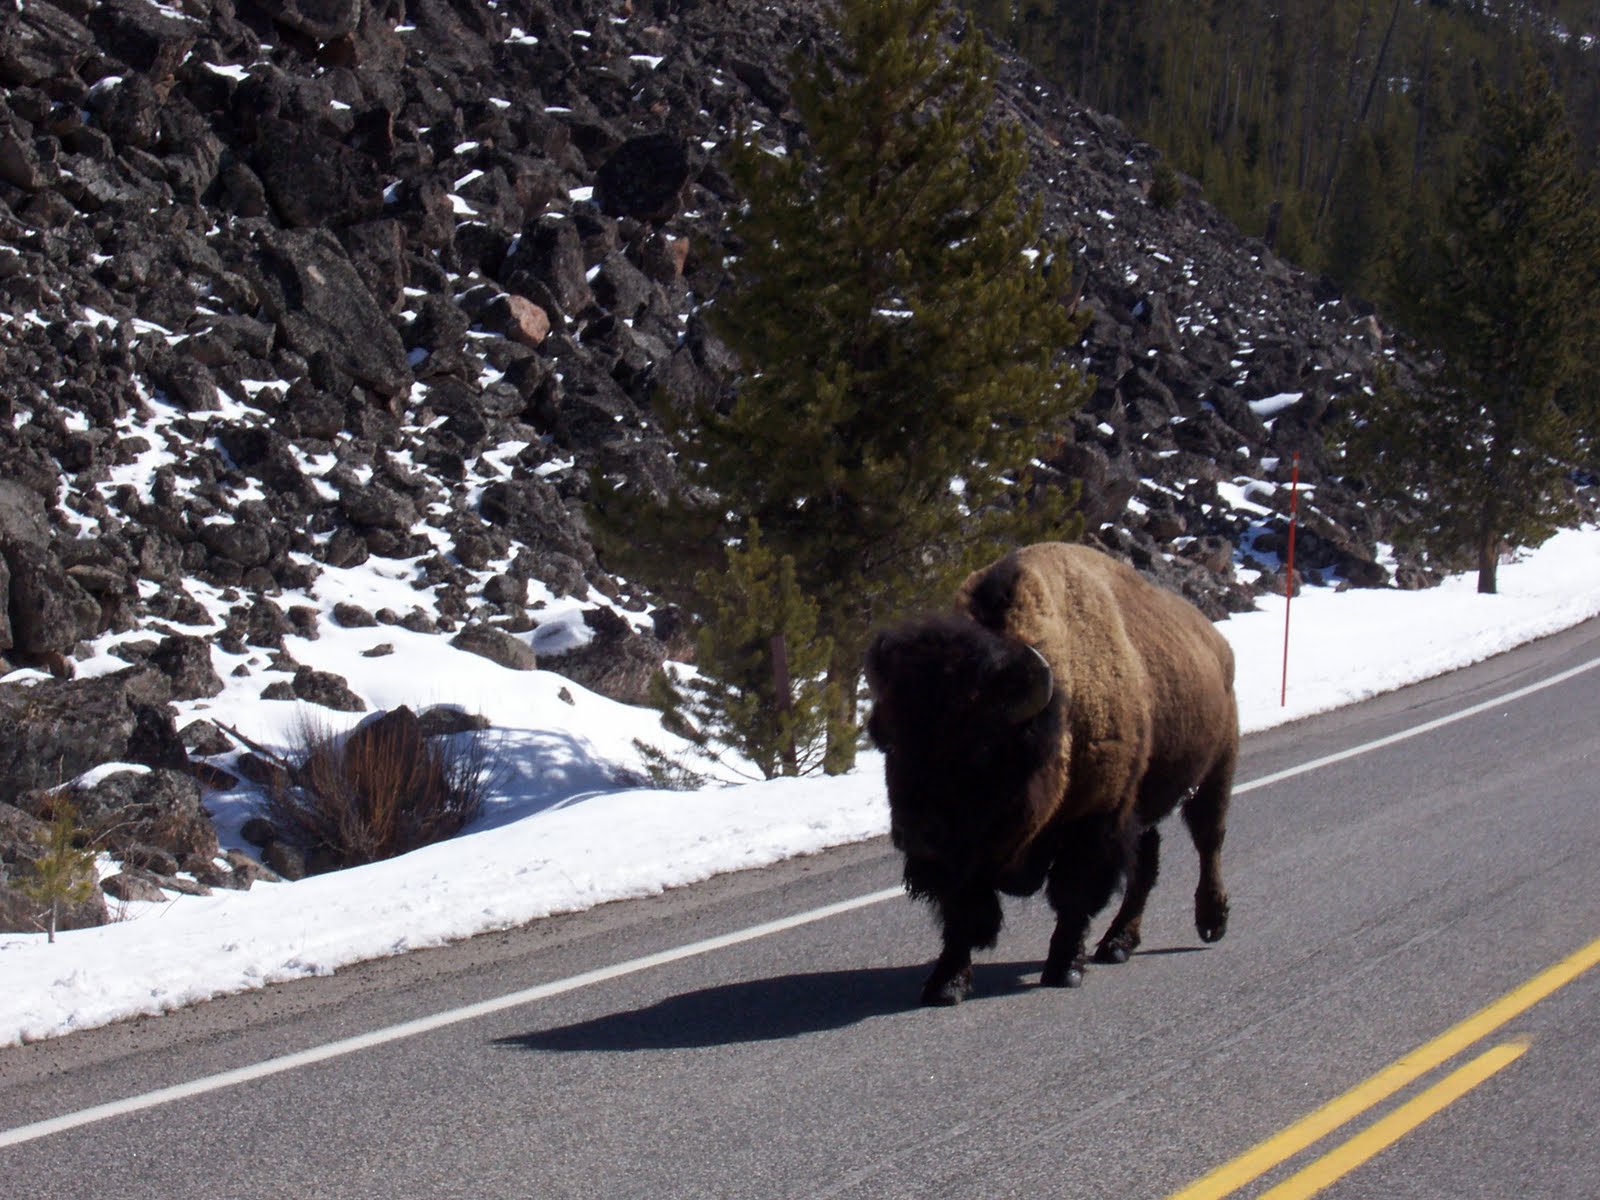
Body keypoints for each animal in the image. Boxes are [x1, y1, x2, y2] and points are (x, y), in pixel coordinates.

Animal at [870, 544, 1228, 1004]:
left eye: (979, 748)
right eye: (891, 744)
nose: (914, 833)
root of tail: (1215, 641)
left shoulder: (1095, 819)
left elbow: (1073, 894)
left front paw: (1063, 969)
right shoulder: (962, 857)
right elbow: (963, 910)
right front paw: (945, 984)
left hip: (1216, 768)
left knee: (1208, 841)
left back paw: (1211, 921)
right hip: (1144, 808)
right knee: (1147, 866)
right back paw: (1117, 944)